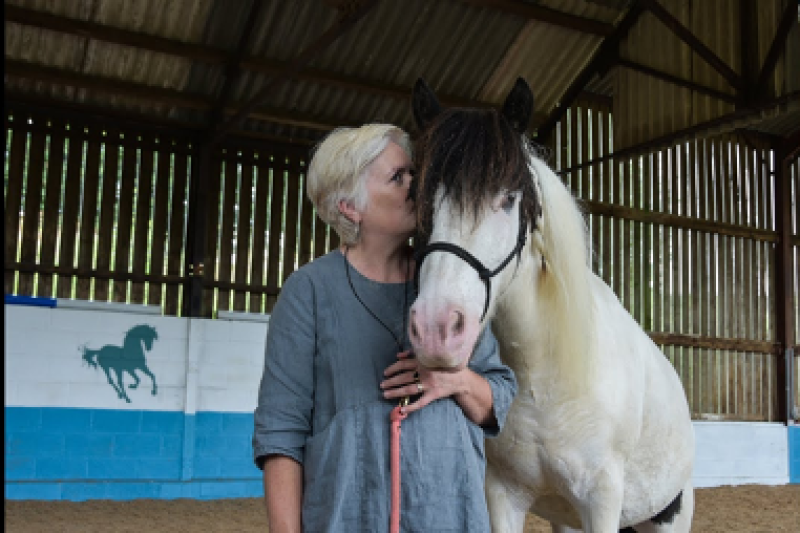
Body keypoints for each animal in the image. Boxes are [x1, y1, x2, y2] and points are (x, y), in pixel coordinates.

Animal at [406, 79, 692, 532]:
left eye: (507, 198)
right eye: (416, 195)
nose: (436, 329)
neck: (545, 376)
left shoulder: (602, 501)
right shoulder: (502, 495)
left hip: (670, 514)